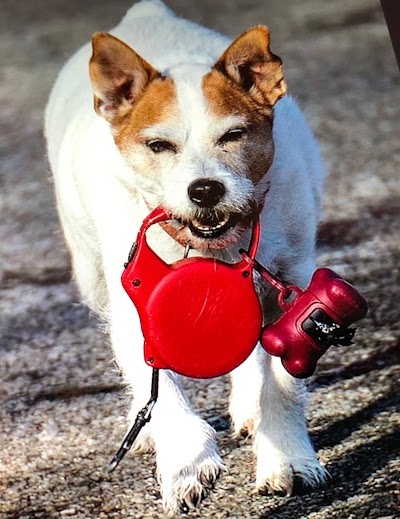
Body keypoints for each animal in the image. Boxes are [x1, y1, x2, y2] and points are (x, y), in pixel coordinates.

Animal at [46, 0, 328, 512]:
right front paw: (184, 461)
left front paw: (287, 458)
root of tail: (145, 15)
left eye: (233, 135)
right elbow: (158, 387)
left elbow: (280, 384)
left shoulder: (291, 292)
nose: (205, 190)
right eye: (159, 145)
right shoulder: (135, 306)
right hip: (91, 277)